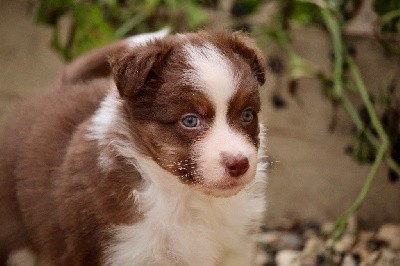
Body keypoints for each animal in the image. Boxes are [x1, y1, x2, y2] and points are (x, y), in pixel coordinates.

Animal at [0, 30, 268, 264]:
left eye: (247, 115)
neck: (186, 197)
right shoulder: (123, 250)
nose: (239, 164)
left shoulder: (233, 250)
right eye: (190, 120)